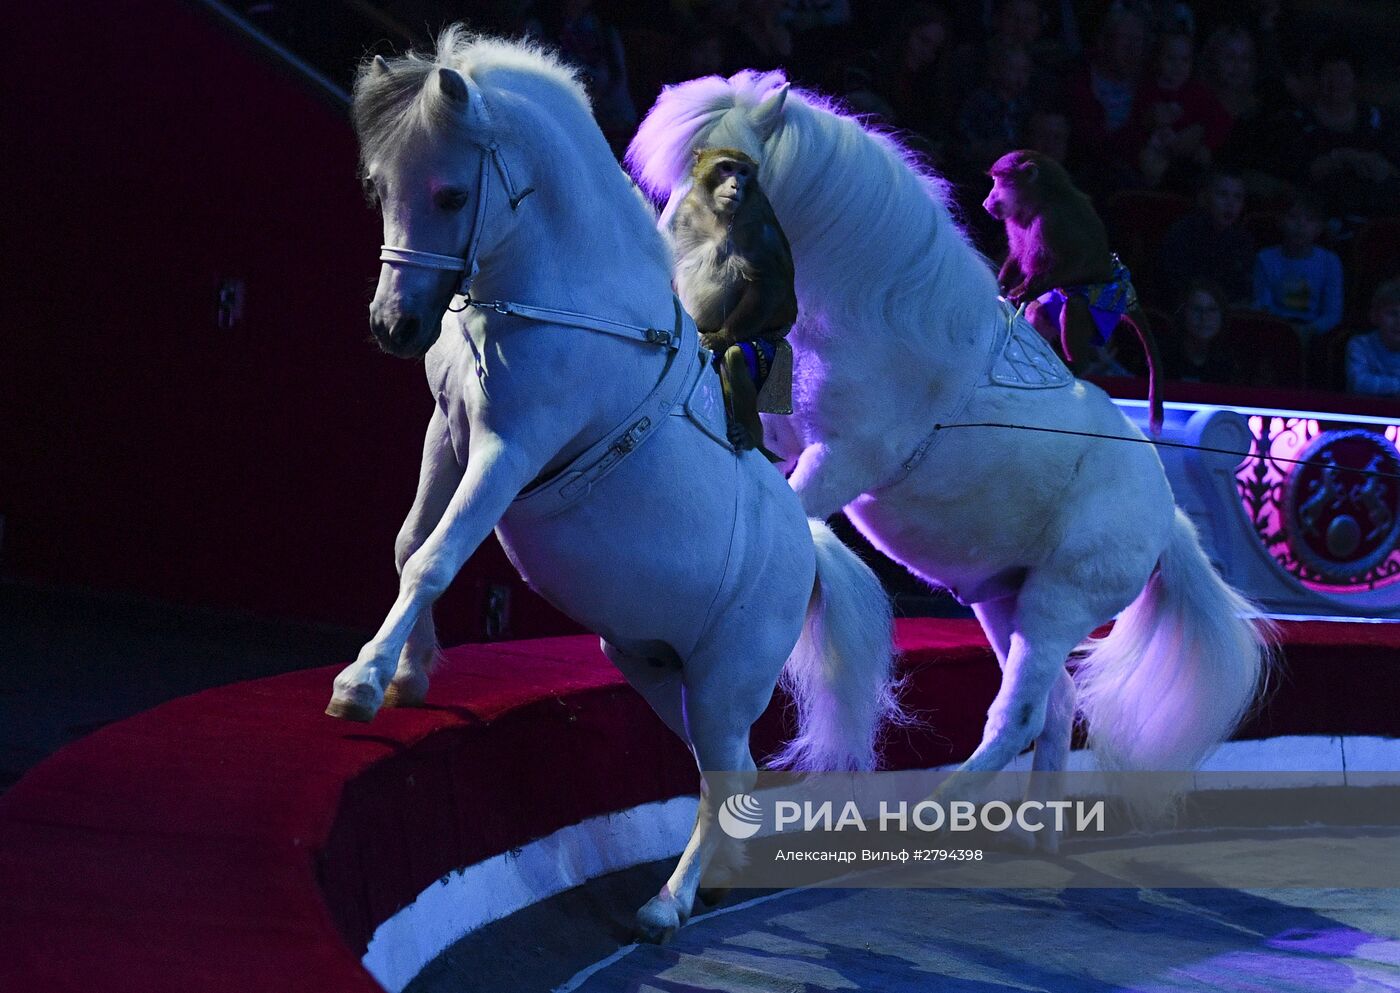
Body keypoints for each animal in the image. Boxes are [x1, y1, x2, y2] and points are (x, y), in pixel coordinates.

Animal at [669, 144, 800, 462]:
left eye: (743, 172)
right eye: (726, 168)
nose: (735, 185)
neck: (718, 218)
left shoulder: (759, 226)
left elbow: (773, 285)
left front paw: (719, 338)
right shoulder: (686, 213)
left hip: (767, 347)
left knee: (736, 356)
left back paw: (750, 435)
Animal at [980, 148, 1164, 434]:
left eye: (998, 181)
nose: (986, 202)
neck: (1042, 198)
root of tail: (1126, 290)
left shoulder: (1052, 221)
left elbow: (1068, 264)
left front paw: (1019, 293)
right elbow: (1018, 255)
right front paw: (1003, 286)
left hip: (1105, 307)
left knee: (1075, 305)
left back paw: (1077, 366)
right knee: (1040, 310)